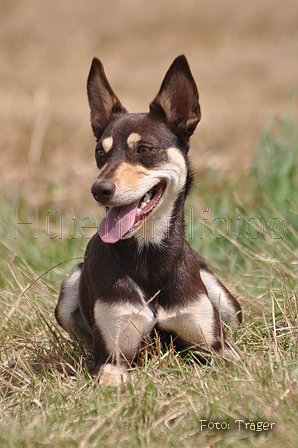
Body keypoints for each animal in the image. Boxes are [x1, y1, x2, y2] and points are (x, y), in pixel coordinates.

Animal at [55, 55, 242, 384]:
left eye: (143, 149)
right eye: (99, 153)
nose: (99, 190)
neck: (148, 257)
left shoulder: (218, 348)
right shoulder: (112, 359)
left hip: (223, 298)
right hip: (68, 289)